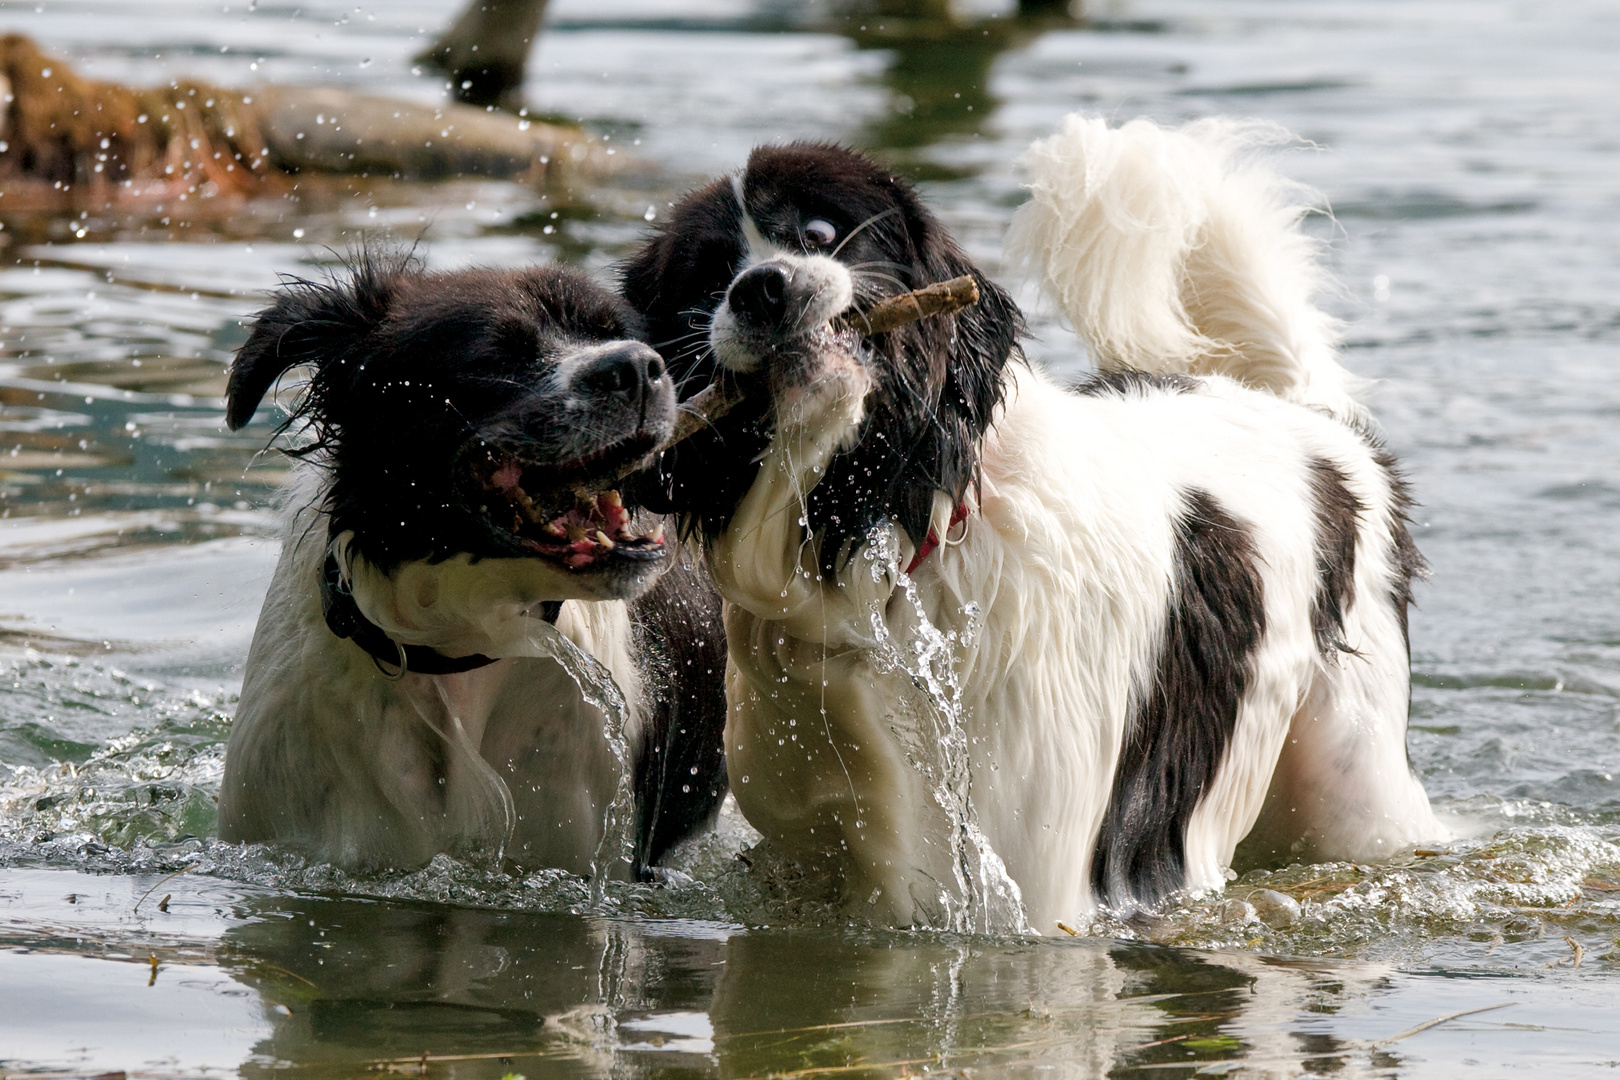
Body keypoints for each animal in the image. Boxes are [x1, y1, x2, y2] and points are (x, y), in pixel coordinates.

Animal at [625, 116, 1451, 932]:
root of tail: (1303, 411)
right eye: (708, 279)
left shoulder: (1025, 884)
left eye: (821, 231)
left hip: (1355, 786)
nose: (761, 288)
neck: (886, 555)